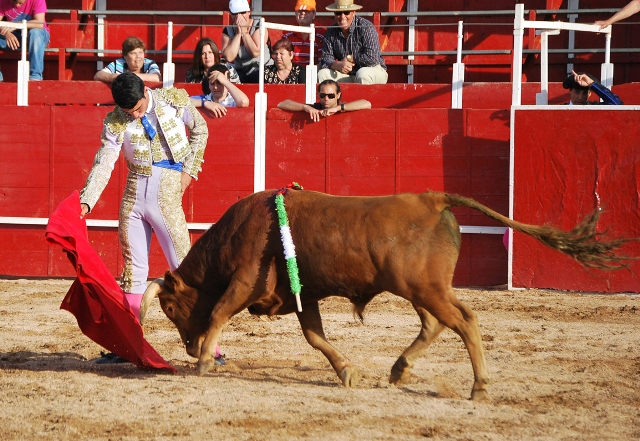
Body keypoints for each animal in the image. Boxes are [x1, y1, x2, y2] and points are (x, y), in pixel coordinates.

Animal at [145, 187, 632, 400]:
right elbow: (315, 337)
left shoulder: (248, 282)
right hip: (423, 290)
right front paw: (347, 372)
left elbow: (219, 311)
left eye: (168, 306)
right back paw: (399, 370)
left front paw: (204, 361)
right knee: (437, 324)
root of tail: (433, 199)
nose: (186, 349)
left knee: (463, 320)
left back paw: (478, 387)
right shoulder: (305, 296)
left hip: (424, 288)